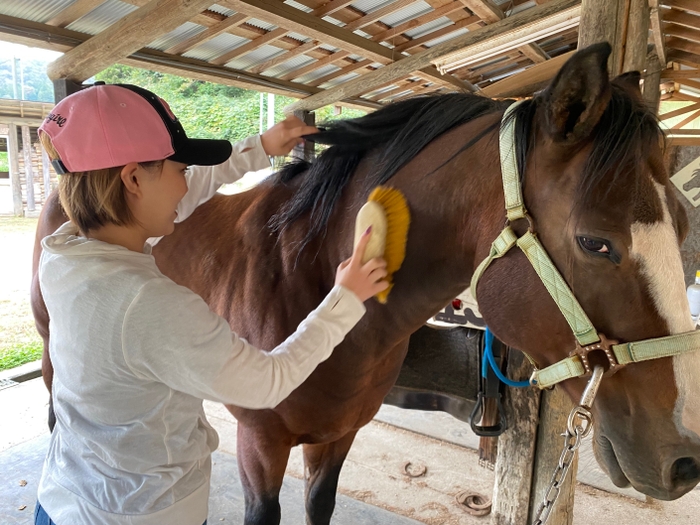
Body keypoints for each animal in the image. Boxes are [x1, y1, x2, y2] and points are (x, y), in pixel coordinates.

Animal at [31, 43, 700, 520]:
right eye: (596, 242)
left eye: (684, 221)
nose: (684, 460)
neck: (302, 272)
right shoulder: (261, 445)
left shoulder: (337, 437)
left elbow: (319, 506)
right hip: (51, 350)